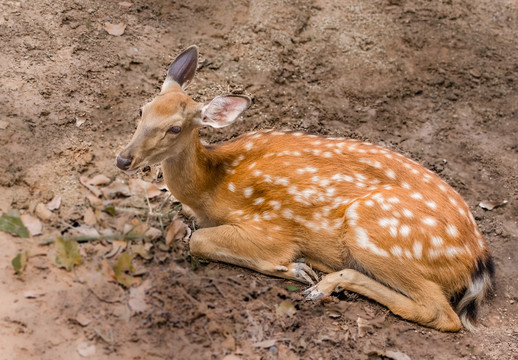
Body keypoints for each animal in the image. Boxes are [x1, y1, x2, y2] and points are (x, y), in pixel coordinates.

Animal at [118, 46, 496, 334]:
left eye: (175, 128)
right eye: (141, 109)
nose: (123, 158)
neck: (211, 188)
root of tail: (478, 259)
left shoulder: (271, 226)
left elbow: (198, 240)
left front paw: (293, 269)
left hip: (374, 230)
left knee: (442, 314)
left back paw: (322, 285)